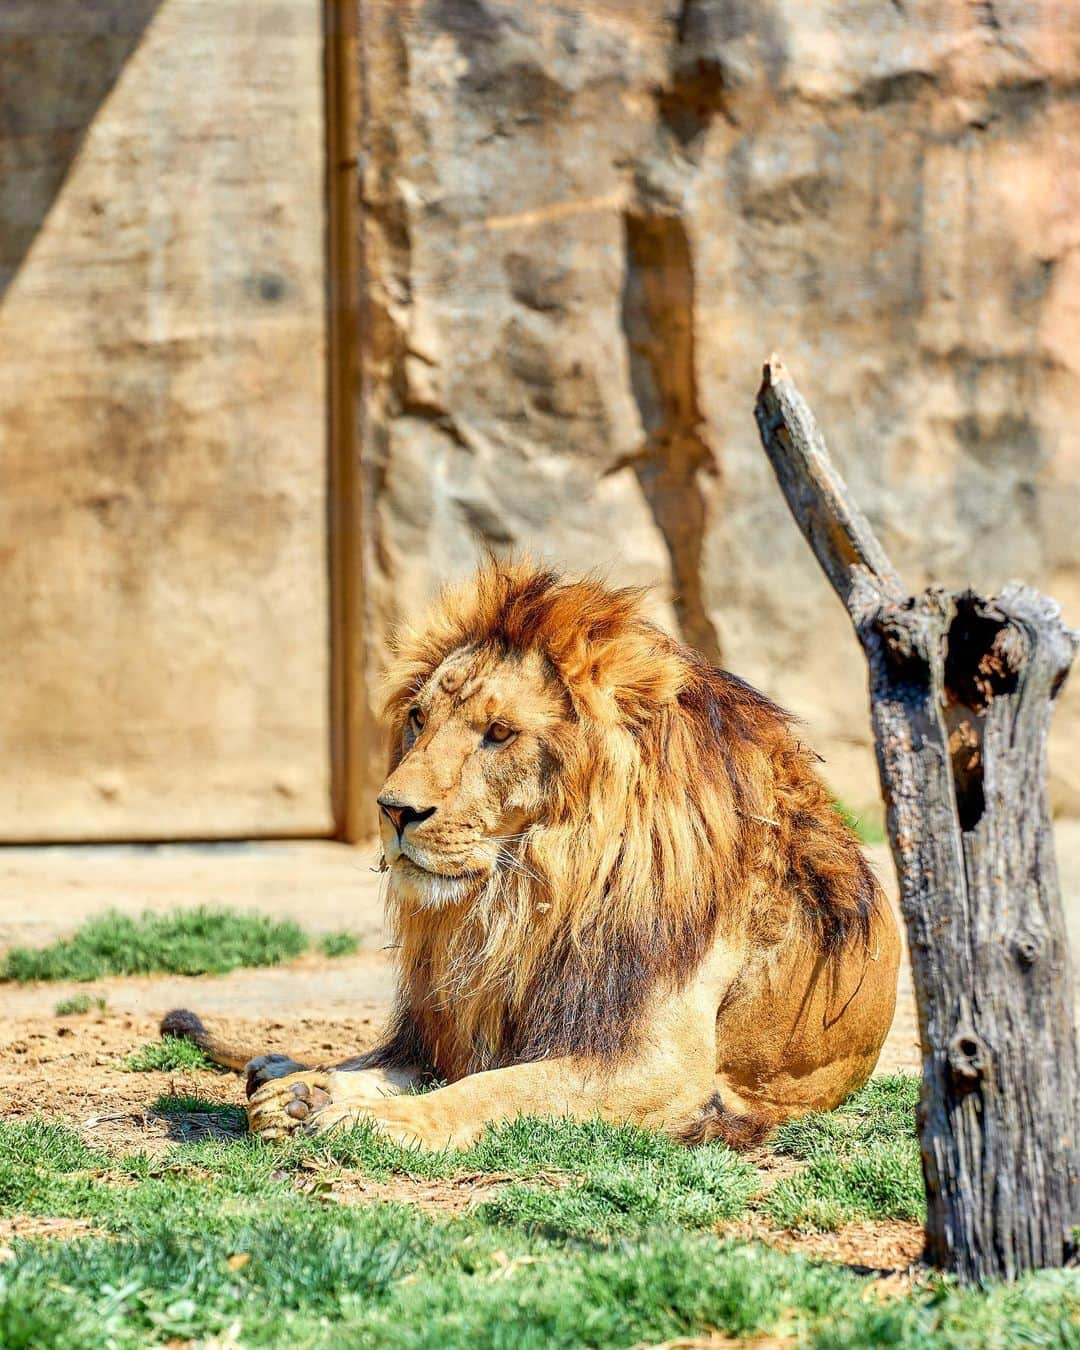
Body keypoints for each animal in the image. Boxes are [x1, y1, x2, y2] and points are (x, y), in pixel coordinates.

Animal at [162, 561, 901, 1150]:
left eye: (498, 733)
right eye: (419, 719)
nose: (394, 810)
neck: (531, 895)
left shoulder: (662, 1064)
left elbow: (497, 1087)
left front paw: (377, 1122)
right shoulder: (468, 1020)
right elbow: (420, 1067)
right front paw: (310, 1095)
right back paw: (288, 1075)